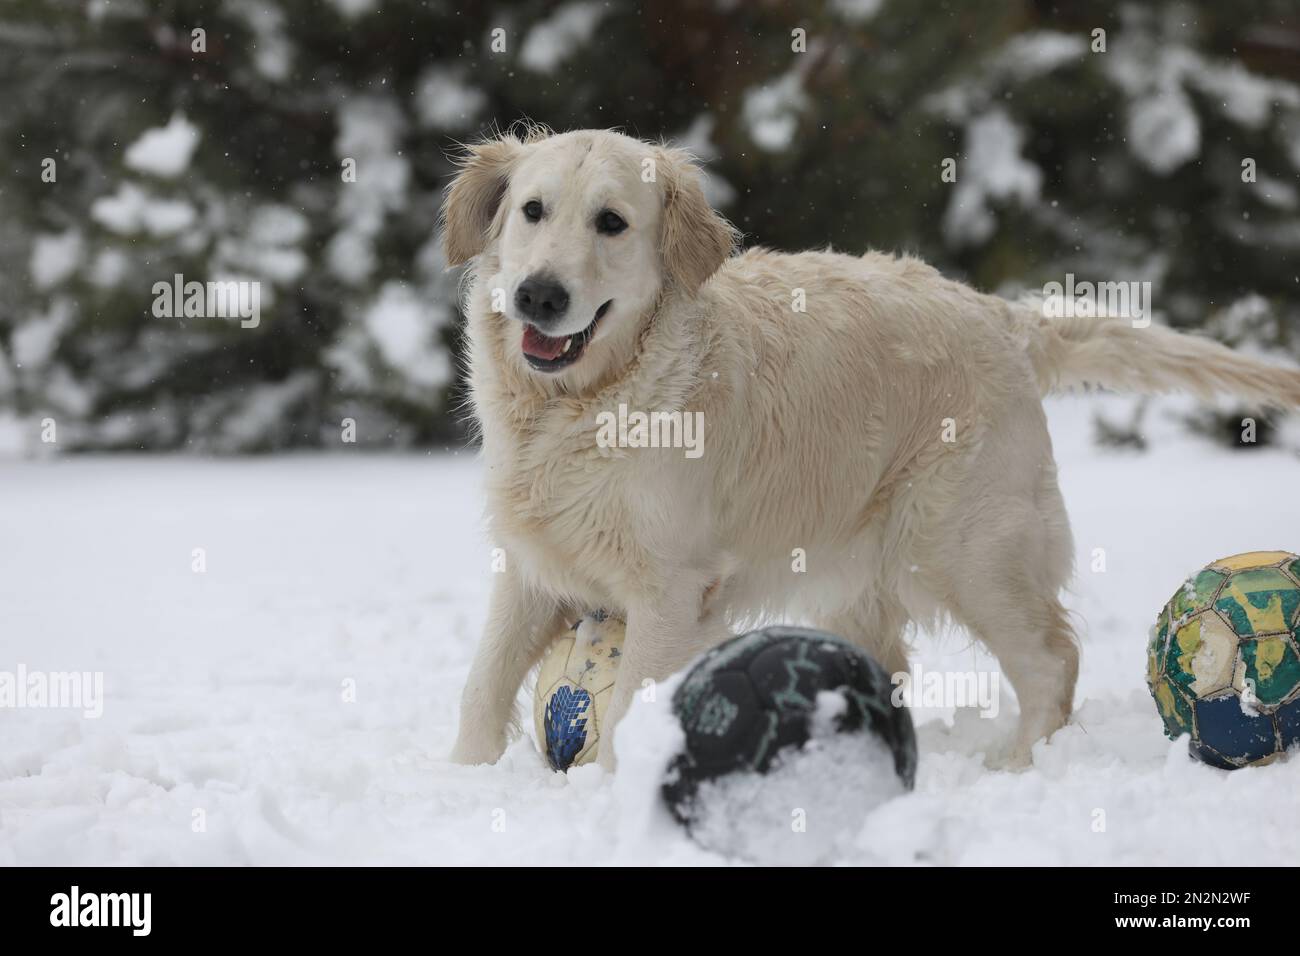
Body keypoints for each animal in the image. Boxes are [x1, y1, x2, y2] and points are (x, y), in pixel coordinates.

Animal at [441, 125, 1300, 770]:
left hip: (962, 545)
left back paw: (1020, 764)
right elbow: (481, 687)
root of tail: (1003, 316)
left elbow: (623, 711)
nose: (539, 295)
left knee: (1052, 657)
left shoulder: (669, 588)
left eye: (612, 222)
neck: (578, 408)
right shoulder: (531, 565)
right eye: (532, 210)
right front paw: (470, 777)